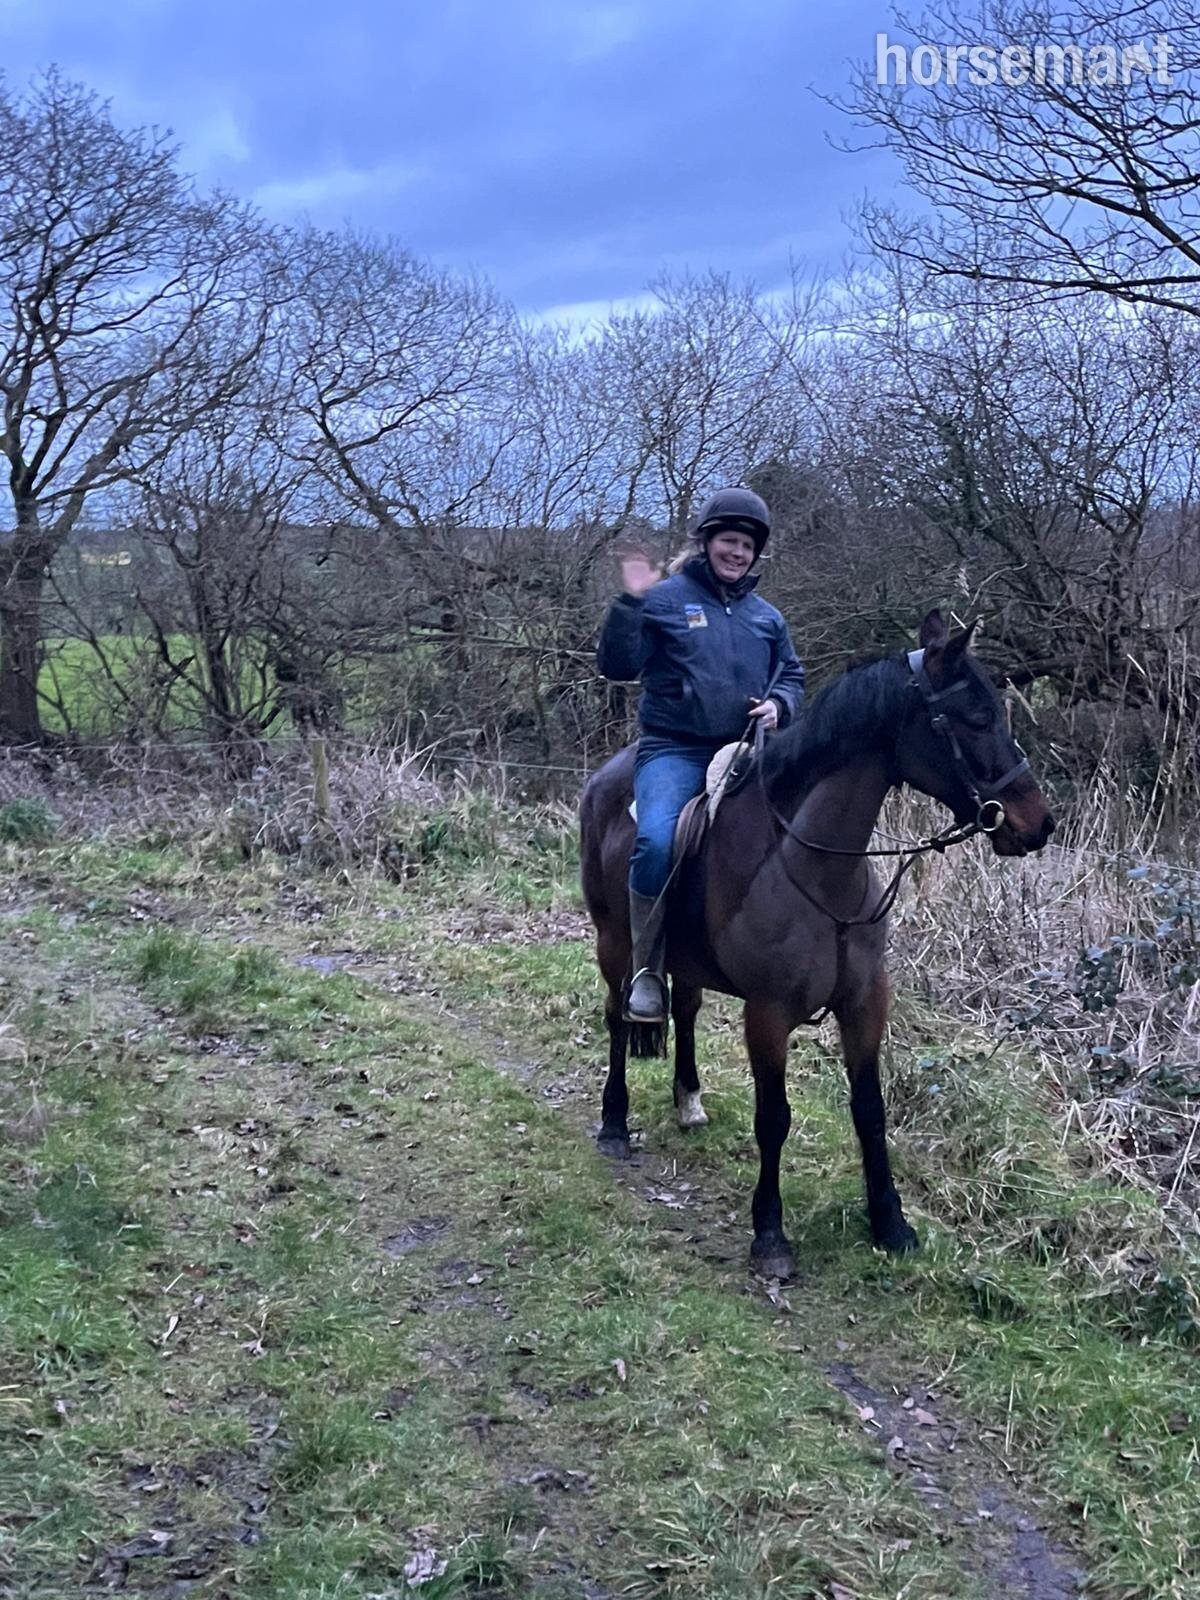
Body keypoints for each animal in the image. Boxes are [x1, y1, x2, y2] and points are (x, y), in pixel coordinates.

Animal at [579, 611, 1055, 1280]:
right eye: (975, 718)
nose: (1037, 824)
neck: (819, 866)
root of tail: (606, 776)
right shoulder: (768, 1014)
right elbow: (773, 1119)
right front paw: (770, 1233)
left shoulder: (865, 1003)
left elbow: (870, 1111)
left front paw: (890, 1224)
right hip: (615, 943)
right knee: (619, 1018)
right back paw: (615, 1122)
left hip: (684, 960)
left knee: (686, 1009)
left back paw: (689, 1102)